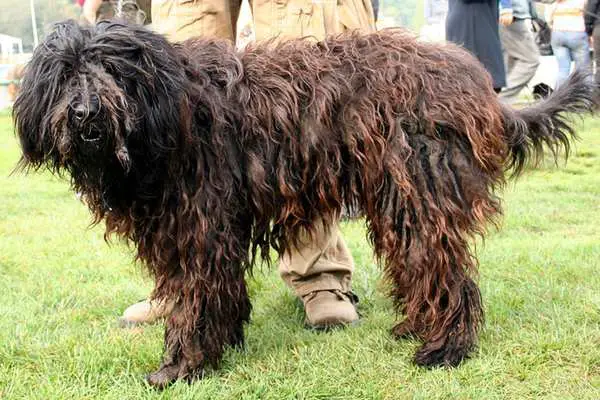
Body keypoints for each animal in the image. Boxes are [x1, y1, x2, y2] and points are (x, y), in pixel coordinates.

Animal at [14, 19, 596, 388]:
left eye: (113, 71)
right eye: (66, 74)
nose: (87, 114)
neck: (170, 110)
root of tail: (476, 83)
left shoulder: (201, 225)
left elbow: (196, 297)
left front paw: (182, 366)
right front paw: (222, 344)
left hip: (421, 190)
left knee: (444, 268)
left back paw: (443, 349)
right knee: (422, 266)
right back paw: (416, 326)